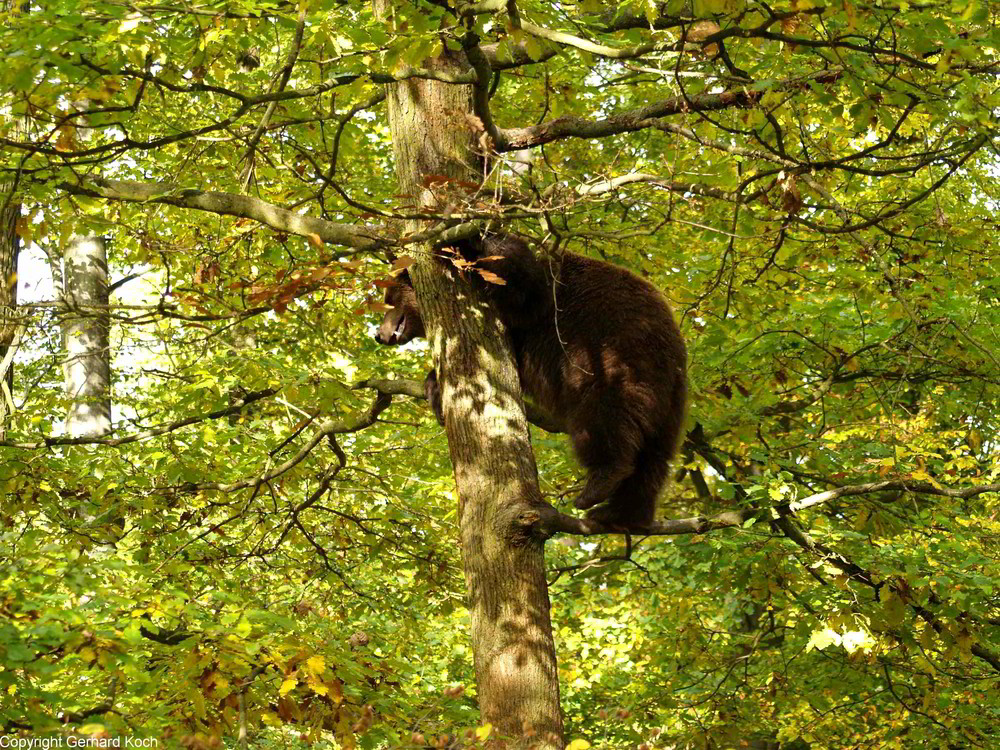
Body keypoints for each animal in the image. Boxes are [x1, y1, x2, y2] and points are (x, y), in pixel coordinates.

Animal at [376, 235, 688, 528]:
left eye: (389, 298)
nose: (379, 334)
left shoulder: (543, 295)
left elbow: (517, 280)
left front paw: (459, 242)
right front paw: (435, 394)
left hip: (607, 354)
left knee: (602, 416)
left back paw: (599, 483)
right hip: (669, 401)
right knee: (653, 457)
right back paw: (620, 512)